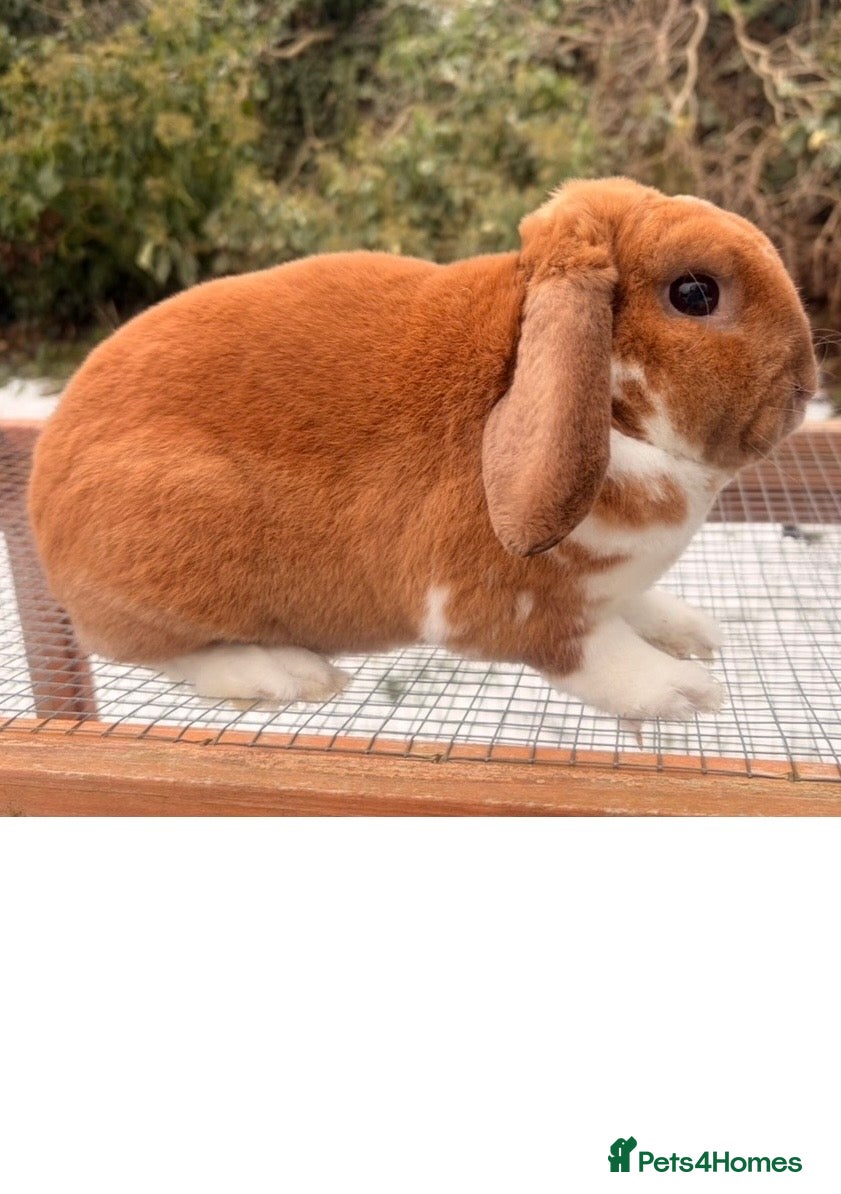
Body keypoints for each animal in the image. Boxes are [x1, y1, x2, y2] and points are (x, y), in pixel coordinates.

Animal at [28, 177, 817, 722]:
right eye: (694, 293)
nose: (808, 384)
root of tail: (43, 512)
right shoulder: (508, 605)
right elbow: (589, 652)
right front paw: (685, 691)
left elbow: (634, 605)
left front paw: (691, 631)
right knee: (154, 650)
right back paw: (285, 674)